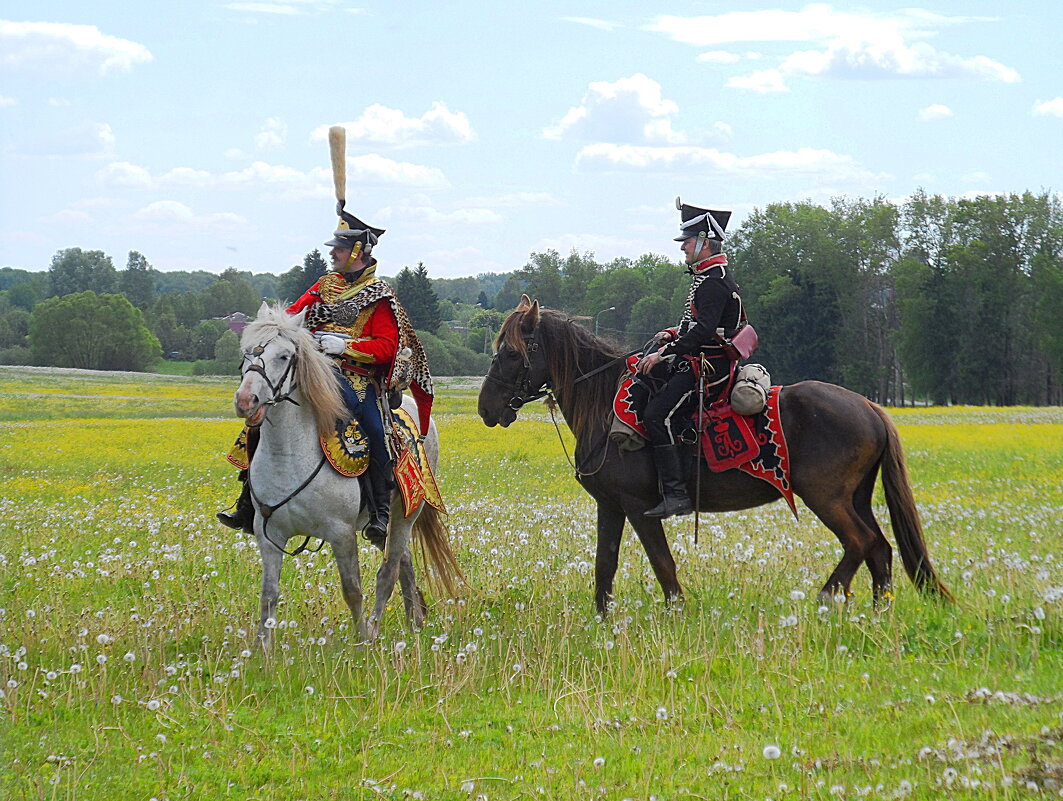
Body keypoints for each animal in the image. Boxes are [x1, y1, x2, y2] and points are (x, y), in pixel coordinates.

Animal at [232, 299, 457, 641]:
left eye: (283, 356)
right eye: (246, 352)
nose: (246, 400)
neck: (289, 455)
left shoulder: (340, 534)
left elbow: (353, 591)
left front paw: (362, 641)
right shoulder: (268, 533)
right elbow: (268, 596)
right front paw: (262, 649)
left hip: (406, 515)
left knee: (388, 570)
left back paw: (376, 630)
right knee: (403, 562)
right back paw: (413, 620)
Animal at [478, 297, 952, 616]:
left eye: (513, 352)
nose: (486, 408)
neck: (602, 401)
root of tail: (870, 407)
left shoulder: (638, 506)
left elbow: (662, 564)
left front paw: (677, 612)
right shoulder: (610, 505)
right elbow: (604, 564)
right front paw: (601, 620)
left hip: (827, 498)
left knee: (861, 542)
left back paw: (825, 597)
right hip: (855, 497)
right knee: (881, 550)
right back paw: (879, 611)